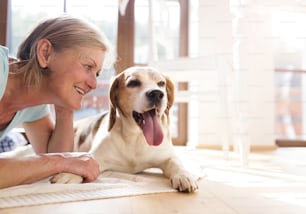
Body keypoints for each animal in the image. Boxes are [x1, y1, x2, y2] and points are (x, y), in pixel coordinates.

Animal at [50, 66, 198, 193]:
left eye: (161, 83)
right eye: (133, 83)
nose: (157, 93)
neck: (135, 136)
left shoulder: (168, 156)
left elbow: (176, 162)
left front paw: (184, 175)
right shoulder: (96, 156)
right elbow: (85, 161)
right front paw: (70, 174)